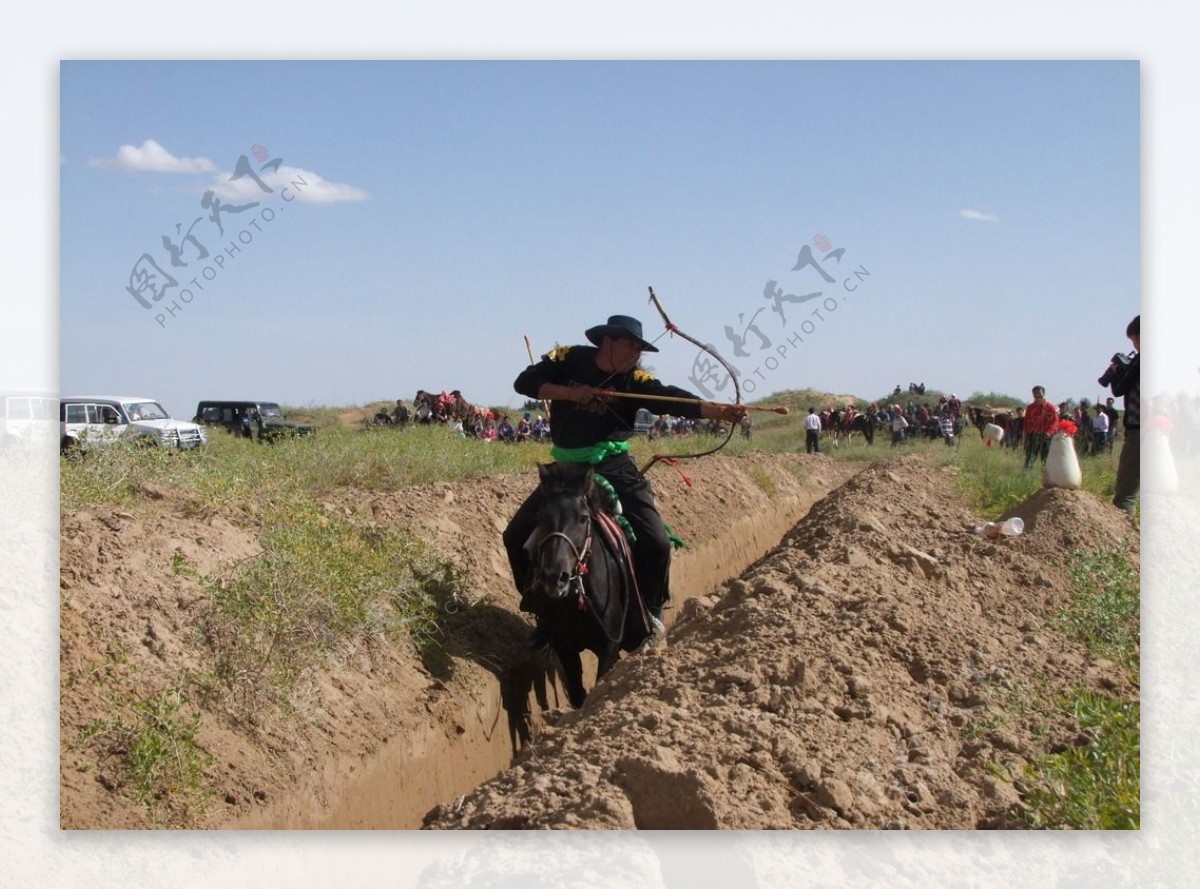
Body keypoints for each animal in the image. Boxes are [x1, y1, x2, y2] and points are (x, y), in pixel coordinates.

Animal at [520, 462, 648, 705]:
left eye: (582, 518)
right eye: (540, 517)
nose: (554, 578)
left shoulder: (608, 646)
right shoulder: (564, 647)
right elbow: (578, 694)